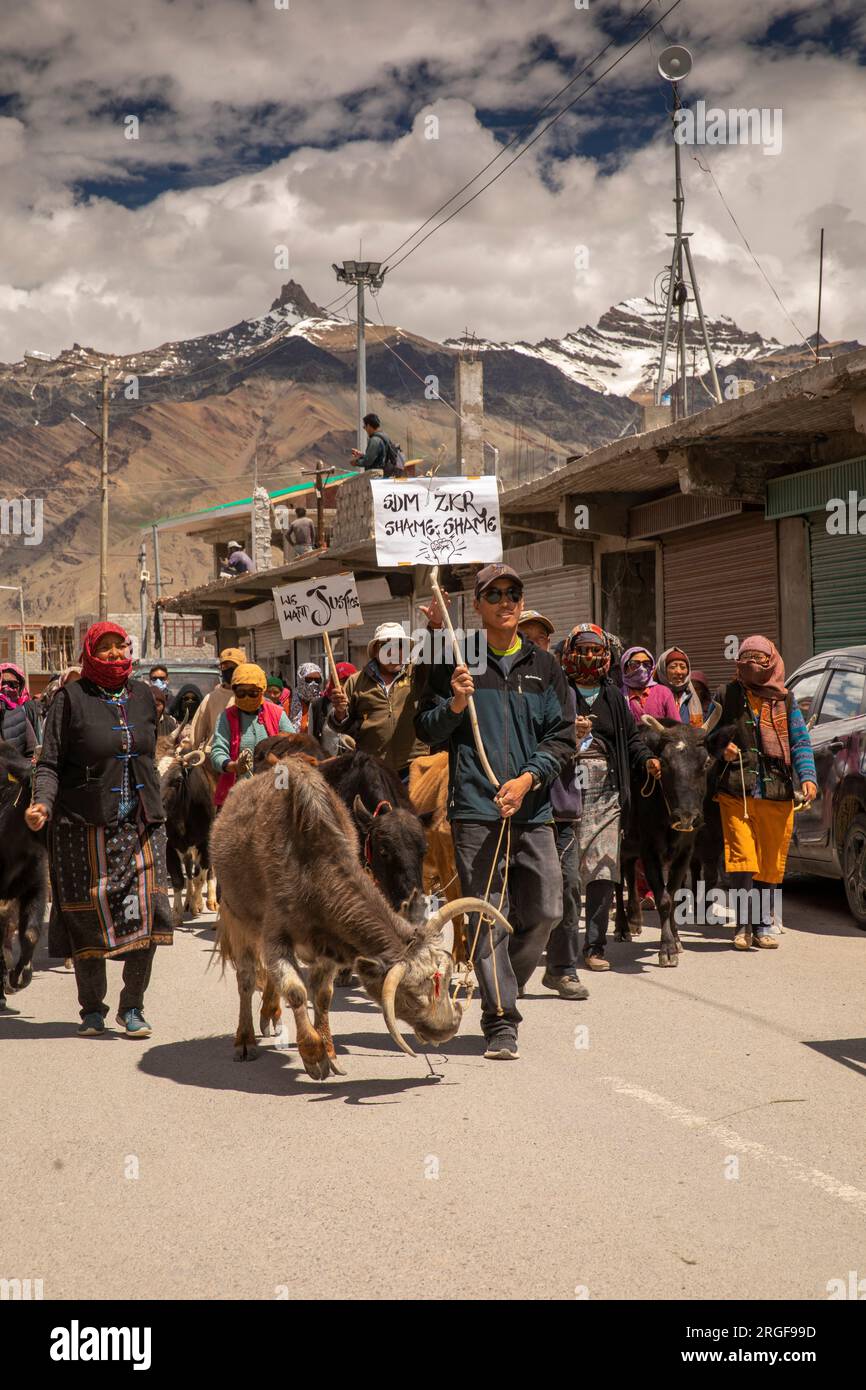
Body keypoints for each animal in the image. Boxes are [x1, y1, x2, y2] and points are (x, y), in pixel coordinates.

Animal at [209, 761, 511, 1073]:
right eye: (407, 994)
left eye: (423, 849)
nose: (447, 1028)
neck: (311, 873)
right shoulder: (275, 938)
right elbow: (295, 991)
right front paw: (313, 1054)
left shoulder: (327, 943)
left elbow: (322, 995)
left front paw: (329, 1050)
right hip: (237, 918)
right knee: (246, 978)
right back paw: (245, 1039)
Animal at [617, 717, 733, 967]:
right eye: (664, 763)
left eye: (706, 762)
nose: (686, 816)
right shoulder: (650, 851)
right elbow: (664, 899)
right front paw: (667, 948)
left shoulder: (685, 852)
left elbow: (674, 894)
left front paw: (677, 939)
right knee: (617, 882)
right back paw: (622, 927)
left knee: (629, 874)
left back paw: (635, 919)